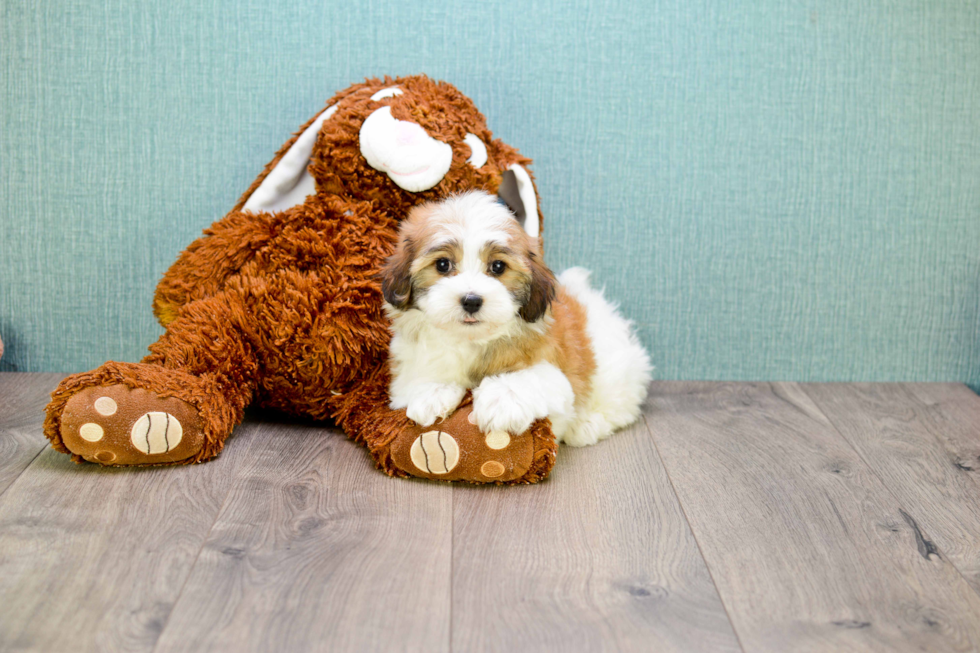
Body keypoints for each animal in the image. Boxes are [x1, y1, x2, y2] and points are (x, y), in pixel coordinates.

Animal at [380, 188, 652, 444]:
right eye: (442, 264)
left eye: (498, 267)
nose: (471, 300)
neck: (472, 341)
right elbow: (420, 376)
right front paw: (432, 392)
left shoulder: (553, 372)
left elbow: (532, 380)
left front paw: (501, 400)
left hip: (616, 372)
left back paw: (587, 425)